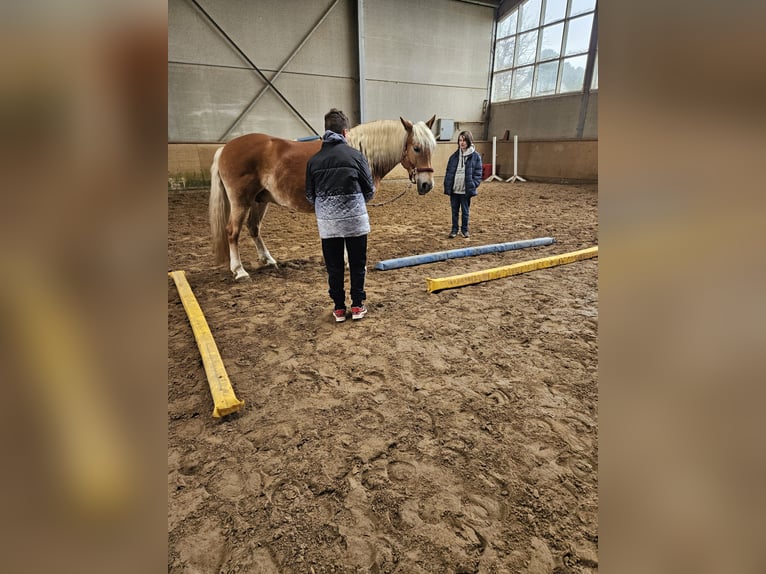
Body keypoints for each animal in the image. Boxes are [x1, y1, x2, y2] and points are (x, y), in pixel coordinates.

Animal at [210, 115, 438, 282]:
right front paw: (351, 263)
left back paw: (268, 261)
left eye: (432, 148)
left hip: (259, 201)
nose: (427, 185)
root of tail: (225, 147)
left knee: (253, 228)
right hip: (241, 201)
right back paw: (240, 271)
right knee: (233, 232)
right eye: (416, 148)